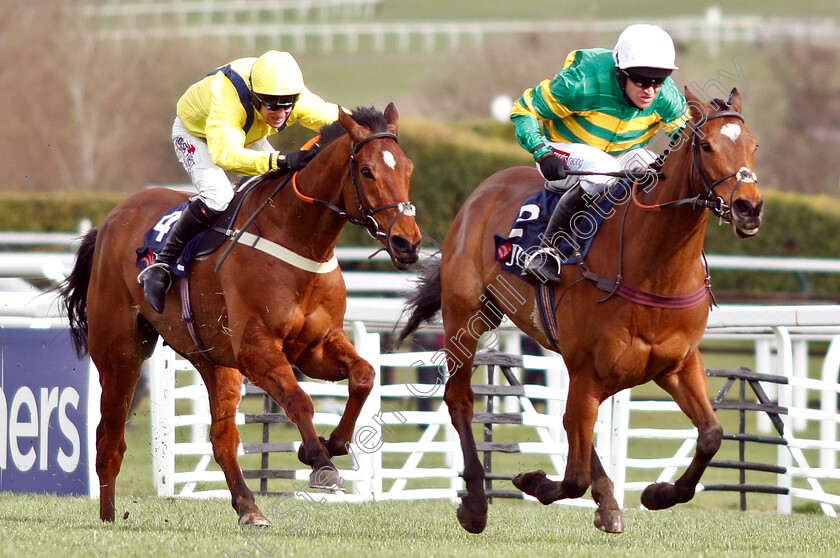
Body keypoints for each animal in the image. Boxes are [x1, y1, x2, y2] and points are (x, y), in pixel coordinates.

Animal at [60, 104, 420, 524]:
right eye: (366, 171)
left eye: (408, 168)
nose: (407, 243)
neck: (297, 237)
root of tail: (109, 221)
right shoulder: (256, 349)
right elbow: (299, 400)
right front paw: (319, 461)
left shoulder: (315, 347)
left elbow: (364, 375)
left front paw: (333, 444)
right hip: (121, 351)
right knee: (110, 438)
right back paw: (108, 517)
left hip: (214, 361)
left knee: (222, 440)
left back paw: (249, 507)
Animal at [398, 89, 760, 536]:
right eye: (707, 146)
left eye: (753, 146)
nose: (749, 207)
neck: (653, 268)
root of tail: (485, 188)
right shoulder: (589, 369)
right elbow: (572, 476)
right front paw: (530, 481)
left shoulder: (677, 364)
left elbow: (711, 435)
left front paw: (657, 494)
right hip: (466, 317)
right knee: (460, 399)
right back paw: (477, 504)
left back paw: (606, 502)